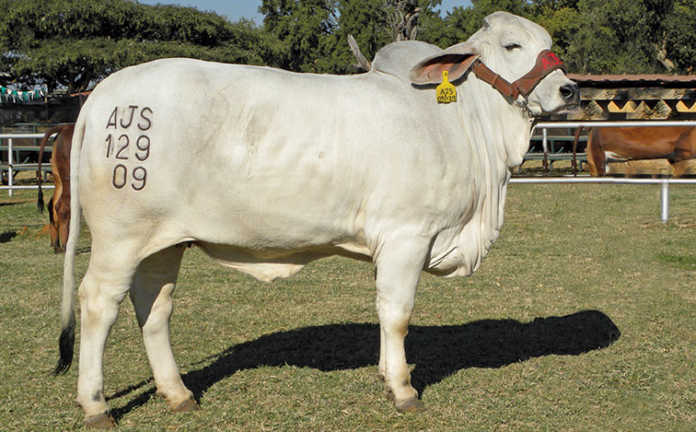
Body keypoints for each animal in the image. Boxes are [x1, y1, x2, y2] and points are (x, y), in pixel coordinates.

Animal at [37, 124, 74, 252]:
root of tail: (65, 127)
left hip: (58, 179)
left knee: (52, 205)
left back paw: (56, 244)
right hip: (70, 178)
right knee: (62, 207)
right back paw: (65, 245)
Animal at [54, 11, 578, 428]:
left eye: (548, 44)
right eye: (512, 46)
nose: (569, 89)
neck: (459, 118)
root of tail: (104, 92)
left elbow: (385, 312)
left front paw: (387, 374)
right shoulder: (406, 235)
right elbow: (397, 314)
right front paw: (402, 389)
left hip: (163, 242)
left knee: (154, 307)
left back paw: (178, 393)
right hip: (120, 237)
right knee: (98, 304)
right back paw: (96, 404)